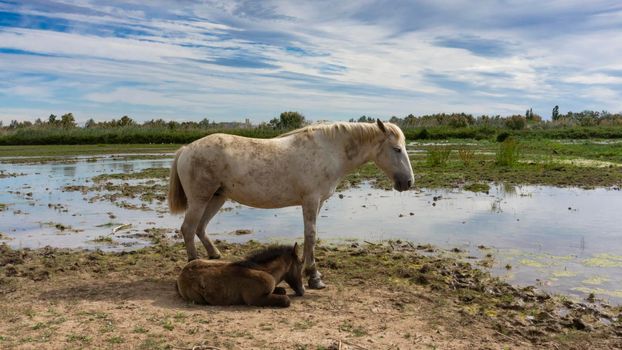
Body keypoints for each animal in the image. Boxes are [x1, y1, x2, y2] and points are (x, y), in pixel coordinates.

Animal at [168, 119, 416, 288]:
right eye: (397, 149)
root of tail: (186, 149)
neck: (328, 151)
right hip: (200, 199)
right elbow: (311, 235)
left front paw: (309, 271)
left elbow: (310, 237)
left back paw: (214, 255)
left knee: (200, 228)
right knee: (188, 228)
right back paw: (193, 263)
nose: (408, 182)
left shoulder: (317, 203)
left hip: (217, 198)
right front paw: (314, 277)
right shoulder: (310, 200)